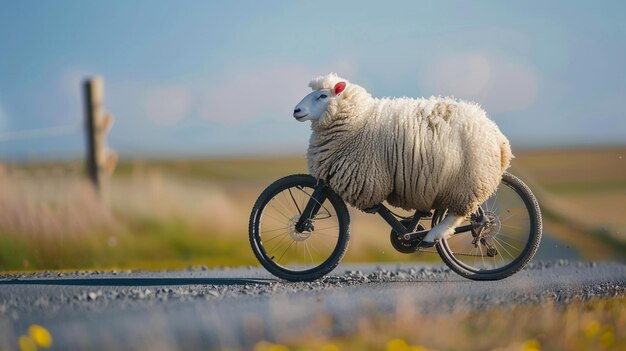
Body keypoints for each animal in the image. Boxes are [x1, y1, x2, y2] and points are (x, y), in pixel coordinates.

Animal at [292, 73, 512, 246]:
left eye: (322, 96)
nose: (296, 110)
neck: (358, 121)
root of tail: (499, 137)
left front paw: (302, 225)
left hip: (469, 180)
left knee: (462, 214)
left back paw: (432, 236)